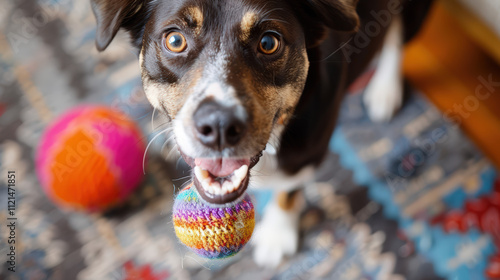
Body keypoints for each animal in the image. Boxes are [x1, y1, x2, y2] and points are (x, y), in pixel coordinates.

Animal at [92, 0, 432, 266]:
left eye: (269, 43)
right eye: (175, 40)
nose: (219, 126)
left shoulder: (308, 150)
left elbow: (289, 190)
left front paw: (277, 235)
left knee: (397, 38)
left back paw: (385, 89)